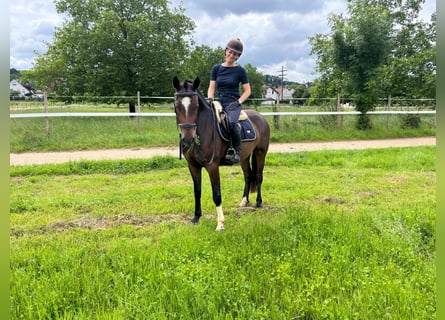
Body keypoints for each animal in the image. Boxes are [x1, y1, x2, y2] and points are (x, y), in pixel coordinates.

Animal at [172, 76, 268, 231]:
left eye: (196, 106)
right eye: (176, 106)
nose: (187, 139)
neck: (203, 131)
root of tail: (261, 117)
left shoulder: (212, 166)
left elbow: (216, 194)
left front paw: (220, 224)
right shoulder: (193, 166)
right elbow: (197, 191)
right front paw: (196, 218)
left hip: (260, 153)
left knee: (258, 176)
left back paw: (258, 203)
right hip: (244, 157)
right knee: (248, 175)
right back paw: (244, 201)